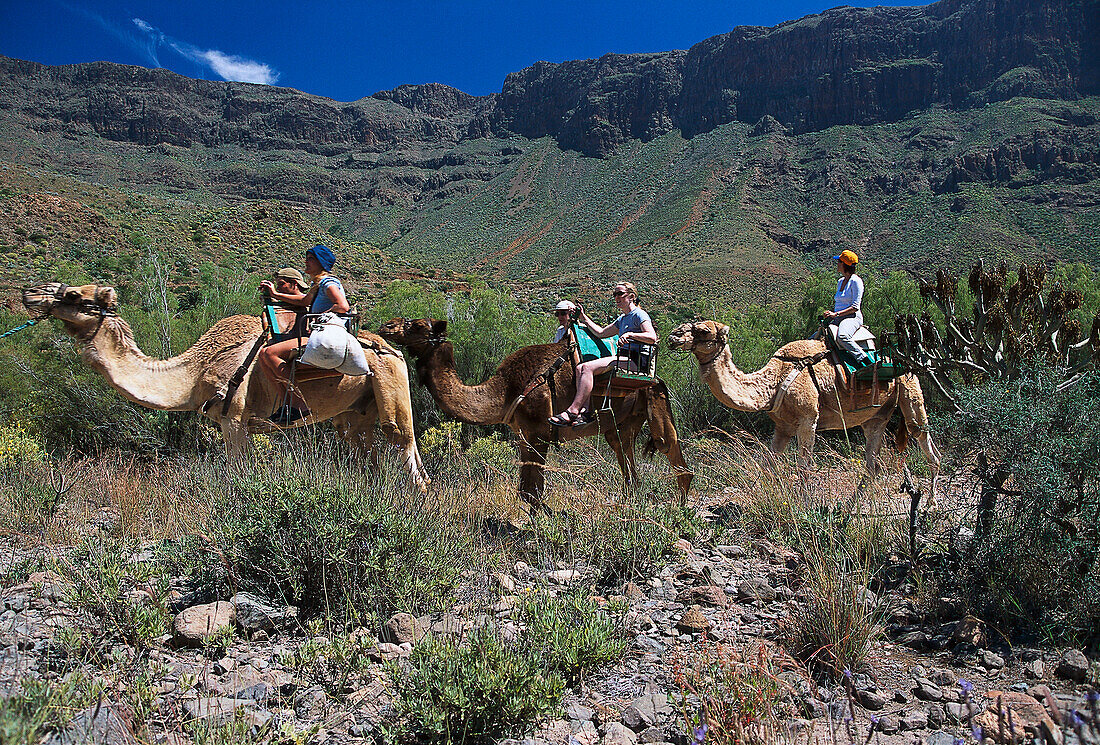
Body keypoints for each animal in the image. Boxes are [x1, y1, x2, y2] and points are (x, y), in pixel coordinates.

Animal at [22, 280, 429, 488]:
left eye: (73, 295)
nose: (30, 292)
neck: (194, 374)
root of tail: (393, 351)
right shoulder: (235, 422)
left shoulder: (233, 418)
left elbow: (238, 476)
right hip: (354, 412)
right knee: (369, 459)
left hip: (391, 390)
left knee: (408, 456)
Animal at [378, 316, 686, 515]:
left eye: (417, 326)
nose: (387, 325)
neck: (505, 390)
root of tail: (656, 377)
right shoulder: (523, 433)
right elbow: (527, 490)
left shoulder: (539, 430)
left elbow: (532, 491)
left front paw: (547, 526)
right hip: (621, 423)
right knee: (628, 465)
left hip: (654, 398)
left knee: (671, 452)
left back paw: (682, 511)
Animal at [664, 319, 941, 499]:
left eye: (702, 330)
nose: (673, 336)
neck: (775, 381)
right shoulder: (783, 426)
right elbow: (769, 465)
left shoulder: (809, 419)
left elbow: (804, 467)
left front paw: (805, 504)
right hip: (876, 416)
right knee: (873, 462)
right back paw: (853, 506)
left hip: (910, 389)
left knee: (926, 444)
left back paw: (930, 503)